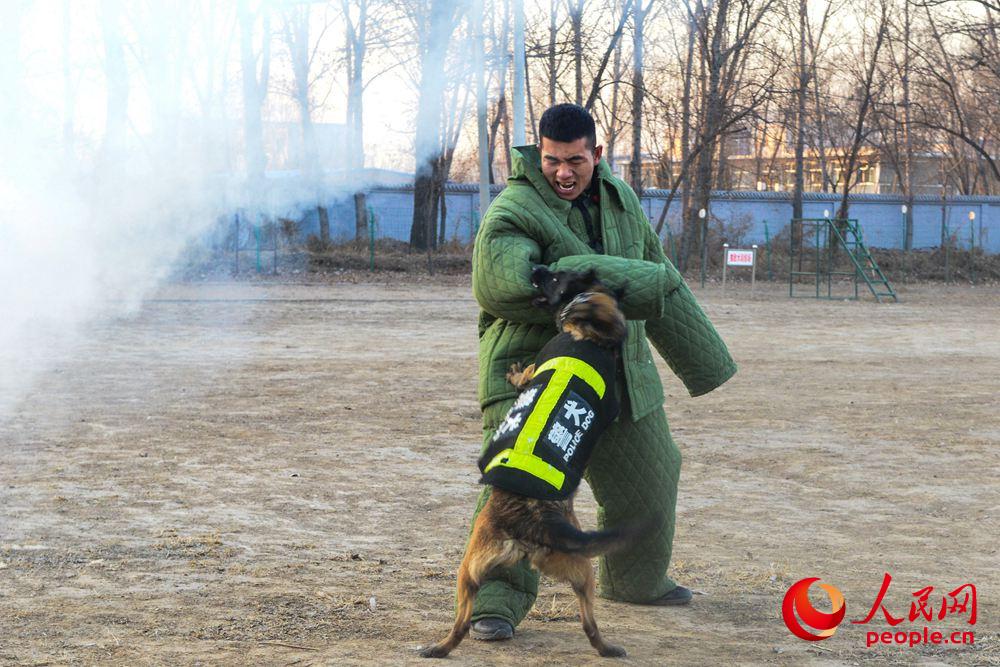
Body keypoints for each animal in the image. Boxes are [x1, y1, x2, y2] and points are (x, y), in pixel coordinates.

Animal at [418, 268, 644, 660]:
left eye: (554, 277)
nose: (534, 269)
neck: (593, 339)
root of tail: (534, 523)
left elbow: (529, 369)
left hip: (467, 567)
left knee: (460, 623)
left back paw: (438, 648)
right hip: (581, 572)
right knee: (589, 622)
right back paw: (608, 648)